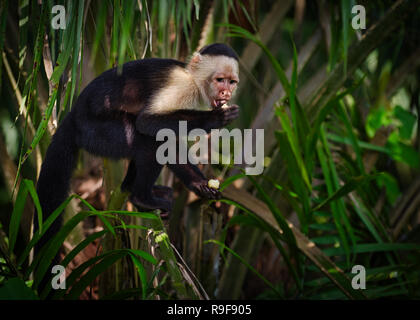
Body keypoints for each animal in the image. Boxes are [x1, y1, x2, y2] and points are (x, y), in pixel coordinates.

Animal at [33, 43, 240, 280]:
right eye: (220, 80)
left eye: (232, 82)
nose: (226, 92)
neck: (193, 79)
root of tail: (73, 116)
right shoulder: (182, 87)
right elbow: (148, 123)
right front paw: (214, 119)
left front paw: (200, 185)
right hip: (97, 132)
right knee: (147, 140)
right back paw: (142, 197)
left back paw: (135, 188)